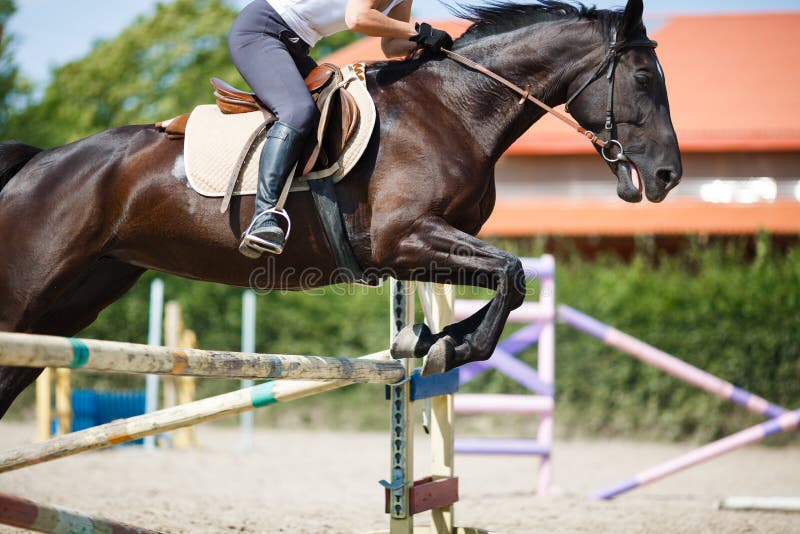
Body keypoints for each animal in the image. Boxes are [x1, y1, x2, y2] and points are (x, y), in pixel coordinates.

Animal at [0, 0, 681, 417]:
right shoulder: (403, 238)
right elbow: (511, 274)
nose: (669, 175)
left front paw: (431, 340)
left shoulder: (424, 248)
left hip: (77, 298)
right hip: (29, 292)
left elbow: (506, 283)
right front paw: (445, 348)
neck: (456, 106)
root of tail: (37, 163)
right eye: (645, 79)